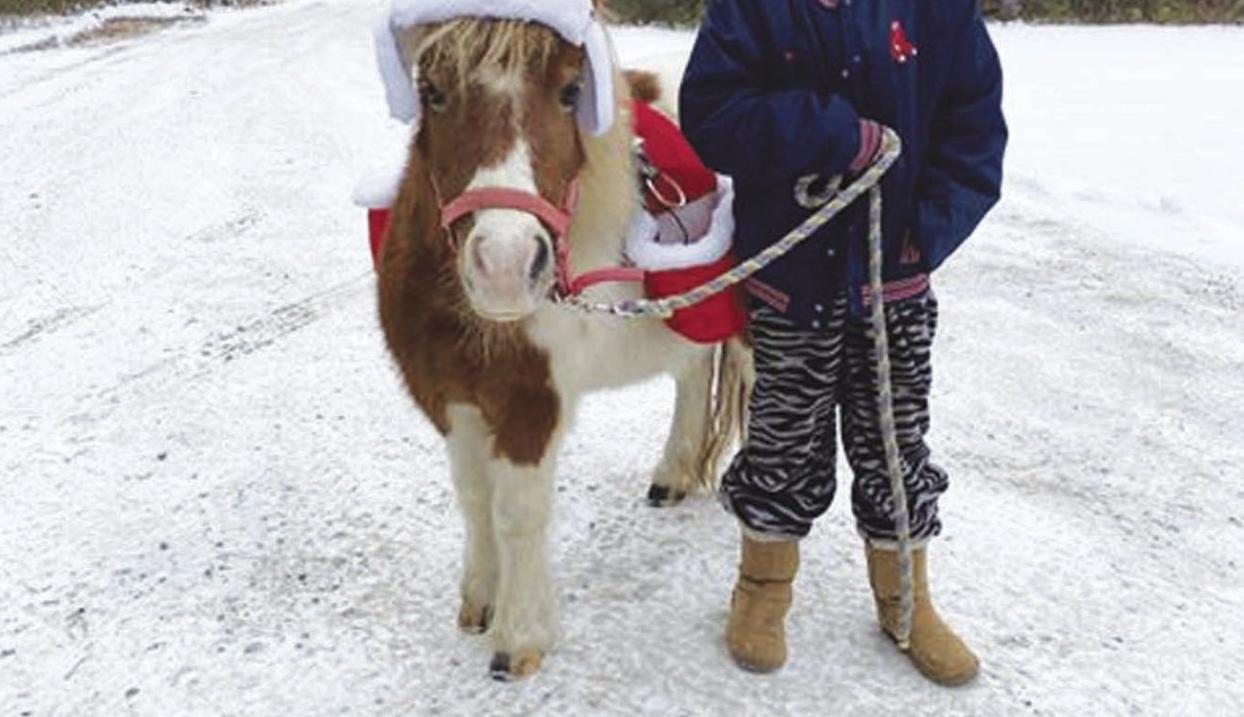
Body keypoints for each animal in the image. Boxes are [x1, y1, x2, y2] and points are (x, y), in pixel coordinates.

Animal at [373, 11, 749, 679]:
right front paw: (480, 600)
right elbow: (474, 498)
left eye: (572, 92)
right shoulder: (451, 400)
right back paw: (673, 475)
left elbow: (517, 513)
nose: (504, 265)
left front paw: (519, 638)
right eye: (432, 93)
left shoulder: (532, 404)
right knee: (691, 373)